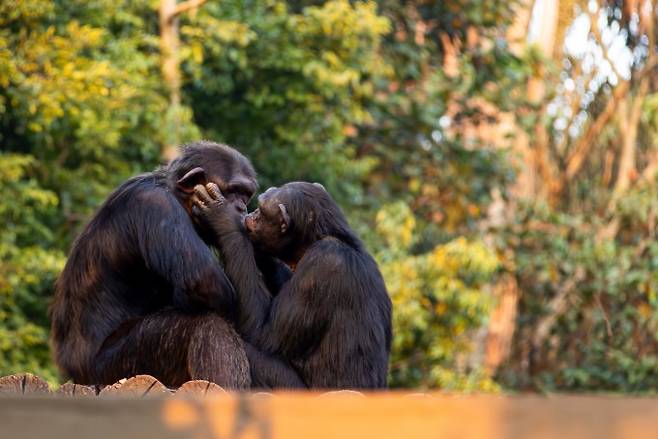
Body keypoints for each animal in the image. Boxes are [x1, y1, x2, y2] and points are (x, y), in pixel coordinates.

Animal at [47, 141, 276, 388]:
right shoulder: (156, 205)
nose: (242, 208)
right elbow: (205, 281)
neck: (175, 196)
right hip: (116, 366)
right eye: (233, 191)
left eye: (246, 194)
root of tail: (75, 375)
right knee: (206, 324)